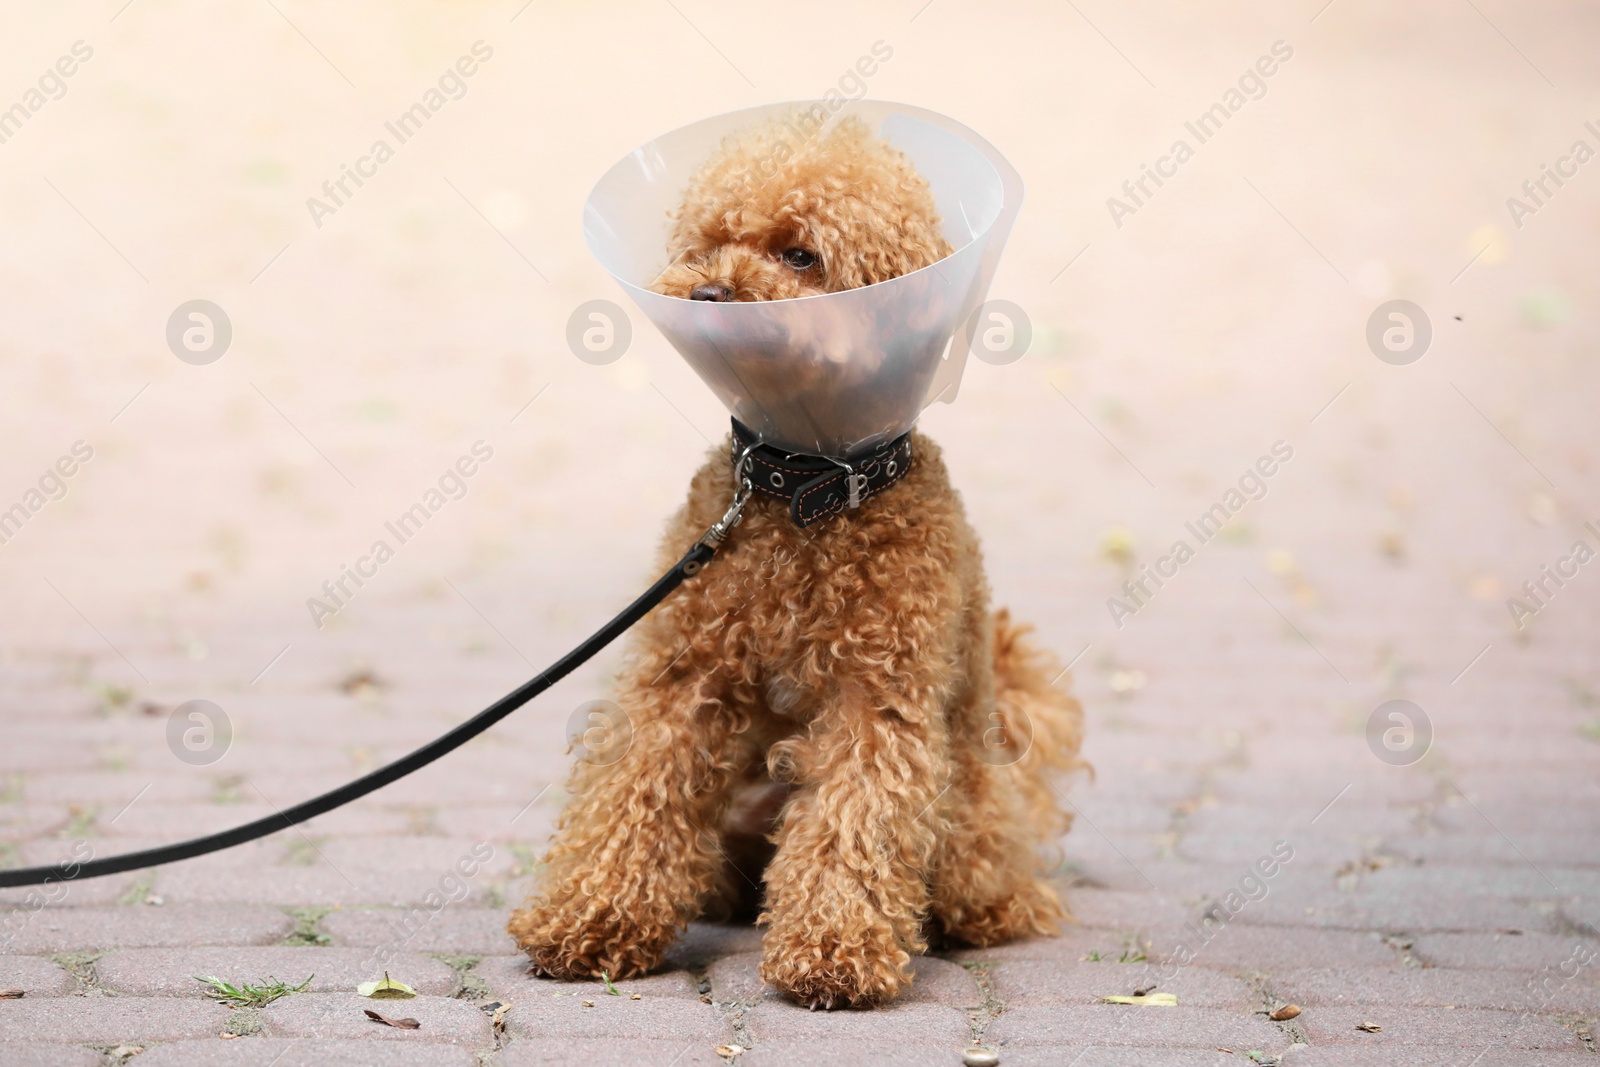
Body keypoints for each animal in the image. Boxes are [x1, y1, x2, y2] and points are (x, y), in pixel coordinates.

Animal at [512, 116, 1088, 1011]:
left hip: (969, 819)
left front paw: (834, 950)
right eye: (713, 240)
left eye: (801, 255)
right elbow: (634, 788)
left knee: (978, 878)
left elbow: (855, 818)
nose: (709, 293)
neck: (801, 488)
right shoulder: (685, 676)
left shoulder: (875, 698)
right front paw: (591, 917)